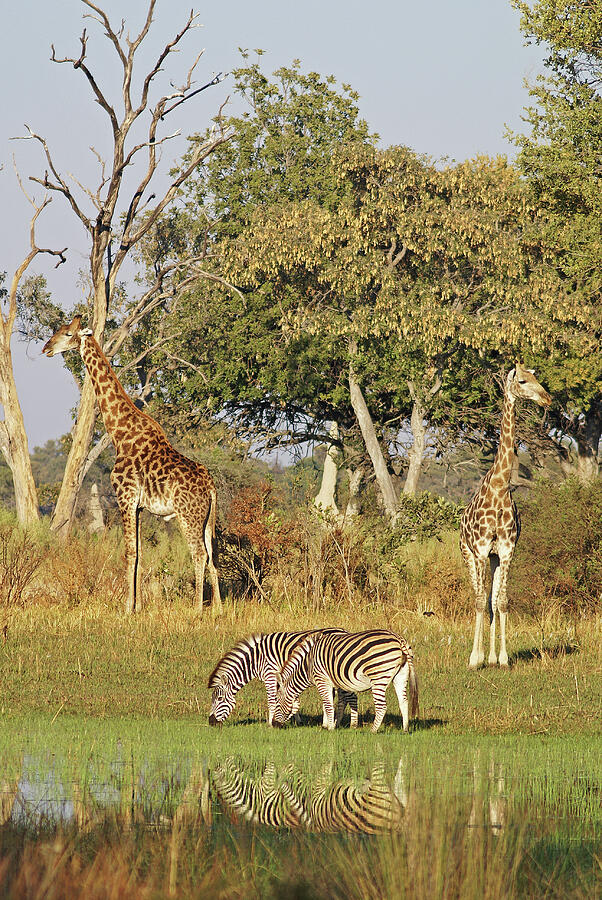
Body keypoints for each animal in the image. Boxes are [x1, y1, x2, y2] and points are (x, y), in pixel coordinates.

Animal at [42, 312, 220, 616]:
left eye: (67, 333)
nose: (46, 348)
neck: (119, 432)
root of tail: (210, 487)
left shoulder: (124, 497)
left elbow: (129, 553)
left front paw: (127, 608)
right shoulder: (137, 507)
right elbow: (139, 553)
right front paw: (135, 606)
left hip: (189, 516)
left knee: (199, 554)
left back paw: (197, 610)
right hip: (208, 519)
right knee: (213, 557)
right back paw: (219, 609)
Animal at [207, 628, 356, 728]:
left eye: (219, 699)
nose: (211, 722)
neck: (255, 660)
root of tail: (343, 631)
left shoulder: (270, 675)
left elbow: (271, 700)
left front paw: (270, 723)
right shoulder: (281, 678)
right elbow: (287, 697)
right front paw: (294, 718)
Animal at [274, 624, 418, 732]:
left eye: (277, 702)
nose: (275, 725)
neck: (307, 666)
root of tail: (399, 639)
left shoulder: (322, 680)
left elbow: (328, 704)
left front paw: (330, 727)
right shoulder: (337, 682)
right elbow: (338, 703)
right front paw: (335, 724)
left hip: (379, 676)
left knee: (382, 706)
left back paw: (373, 730)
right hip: (400, 675)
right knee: (404, 701)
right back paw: (405, 729)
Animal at [460, 364, 548, 668]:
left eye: (536, 378)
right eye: (522, 381)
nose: (547, 399)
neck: (500, 487)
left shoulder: (507, 550)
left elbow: (501, 602)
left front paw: (503, 658)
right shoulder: (480, 549)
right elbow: (478, 601)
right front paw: (475, 659)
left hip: (494, 558)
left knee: (491, 600)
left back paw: (491, 656)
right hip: (468, 554)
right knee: (478, 597)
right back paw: (478, 657)